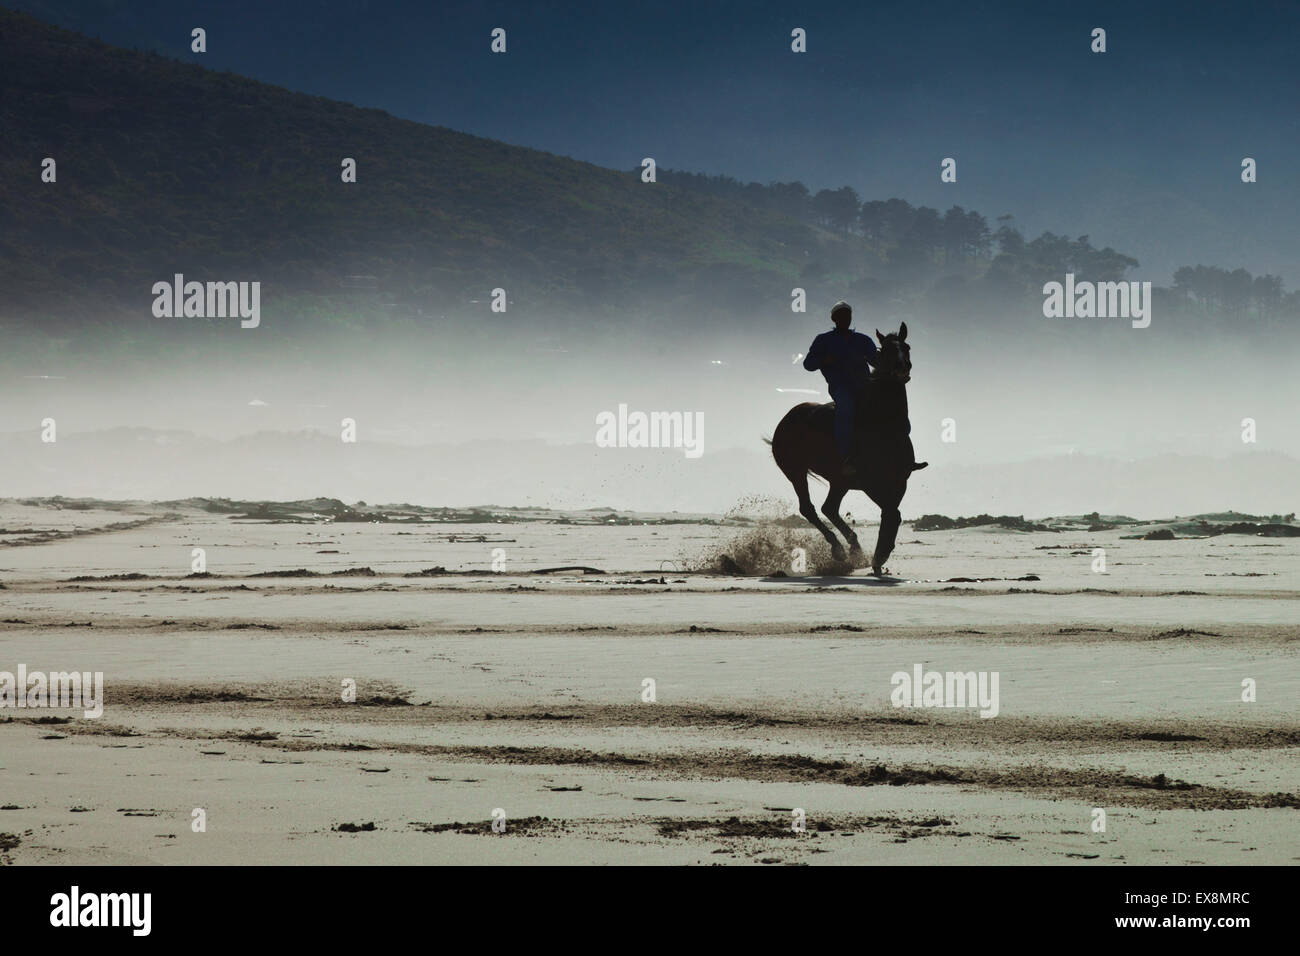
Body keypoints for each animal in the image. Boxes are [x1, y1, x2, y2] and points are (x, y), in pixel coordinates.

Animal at [769, 321, 925, 574]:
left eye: (906, 347)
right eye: (885, 350)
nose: (901, 368)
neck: (884, 425)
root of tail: (787, 419)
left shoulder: (898, 482)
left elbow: (893, 514)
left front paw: (880, 556)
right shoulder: (871, 484)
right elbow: (891, 513)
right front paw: (880, 556)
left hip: (838, 481)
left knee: (829, 508)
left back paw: (854, 547)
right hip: (796, 472)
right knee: (809, 508)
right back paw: (839, 550)